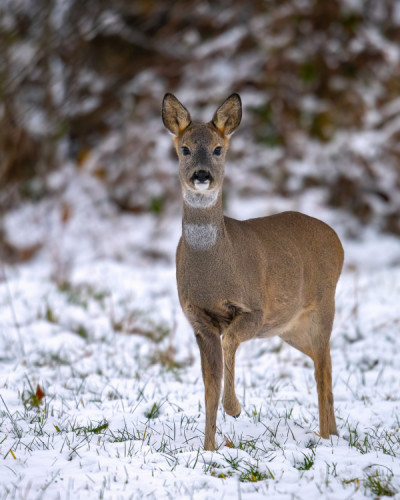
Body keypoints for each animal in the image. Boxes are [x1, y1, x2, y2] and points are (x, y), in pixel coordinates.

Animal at [161, 92, 342, 452]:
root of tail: (337, 239)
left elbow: (230, 341)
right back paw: (332, 434)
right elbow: (209, 385)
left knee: (323, 369)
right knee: (324, 360)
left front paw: (234, 408)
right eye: (184, 148)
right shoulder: (197, 320)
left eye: (218, 149)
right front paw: (208, 450)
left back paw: (327, 439)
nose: (201, 175)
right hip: (289, 326)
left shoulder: (255, 309)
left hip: (323, 305)